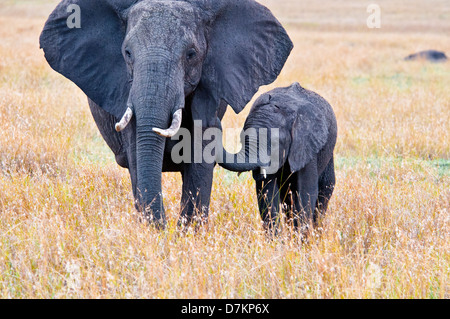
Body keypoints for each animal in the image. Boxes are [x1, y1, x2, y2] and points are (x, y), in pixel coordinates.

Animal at [37, 0, 292, 228]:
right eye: (127, 53)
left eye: (191, 54)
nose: (163, 227)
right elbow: (137, 154)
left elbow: (200, 155)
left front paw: (187, 234)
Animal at [218, 82, 338, 232]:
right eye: (242, 138)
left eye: (275, 143)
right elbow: (266, 193)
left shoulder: (306, 146)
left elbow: (306, 192)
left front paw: (301, 237)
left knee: (324, 190)